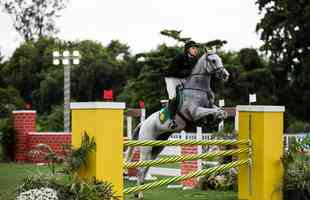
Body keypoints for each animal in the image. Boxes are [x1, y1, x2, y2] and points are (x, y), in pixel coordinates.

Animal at [126, 51, 230, 198]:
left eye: (219, 59)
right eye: (213, 60)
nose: (226, 75)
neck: (198, 89)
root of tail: (143, 123)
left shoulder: (208, 107)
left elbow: (221, 111)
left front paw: (215, 119)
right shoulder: (195, 112)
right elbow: (215, 111)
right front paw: (213, 119)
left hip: (157, 147)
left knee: (145, 168)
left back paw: (138, 192)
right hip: (146, 145)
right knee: (141, 168)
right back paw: (139, 194)